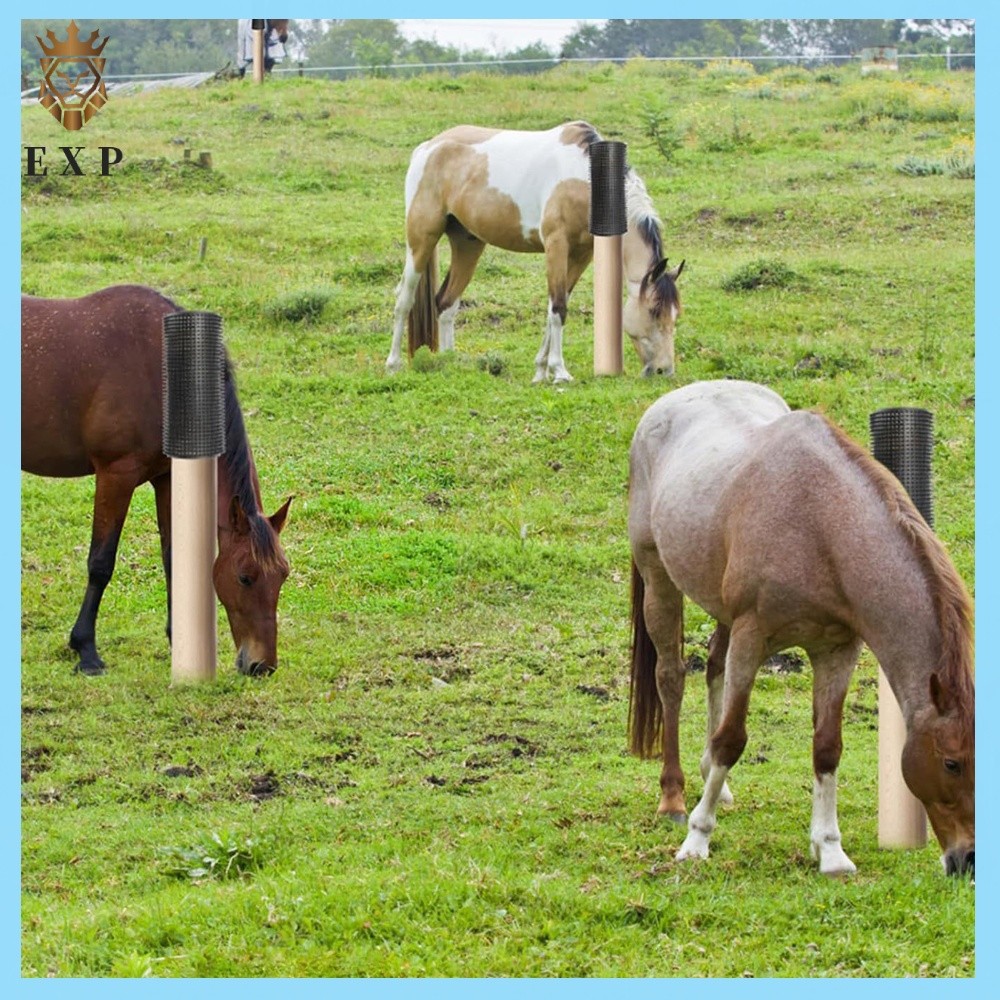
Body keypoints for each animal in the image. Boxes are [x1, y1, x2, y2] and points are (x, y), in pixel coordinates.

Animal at [21, 285, 292, 677]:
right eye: (245, 576)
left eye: (283, 575)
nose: (262, 666)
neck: (164, 373)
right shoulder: (116, 474)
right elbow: (101, 562)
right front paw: (85, 649)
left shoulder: (167, 478)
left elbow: (173, 558)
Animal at [386, 121, 684, 383]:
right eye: (654, 311)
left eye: (675, 313)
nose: (665, 370)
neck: (584, 179)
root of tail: (428, 147)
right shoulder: (556, 245)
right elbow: (559, 308)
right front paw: (559, 371)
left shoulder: (582, 254)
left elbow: (555, 305)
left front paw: (541, 370)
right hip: (421, 239)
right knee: (404, 299)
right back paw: (393, 363)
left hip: (468, 244)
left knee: (446, 303)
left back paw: (449, 362)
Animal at [628, 380, 974, 877]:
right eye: (951, 763)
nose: (969, 859)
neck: (820, 528)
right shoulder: (753, 637)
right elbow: (732, 739)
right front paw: (697, 839)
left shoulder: (838, 650)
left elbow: (827, 747)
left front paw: (830, 850)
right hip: (659, 579)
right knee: (671, 678)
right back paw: (674, 798)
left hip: (720, 605)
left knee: (713, 666)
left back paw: (715, 783)